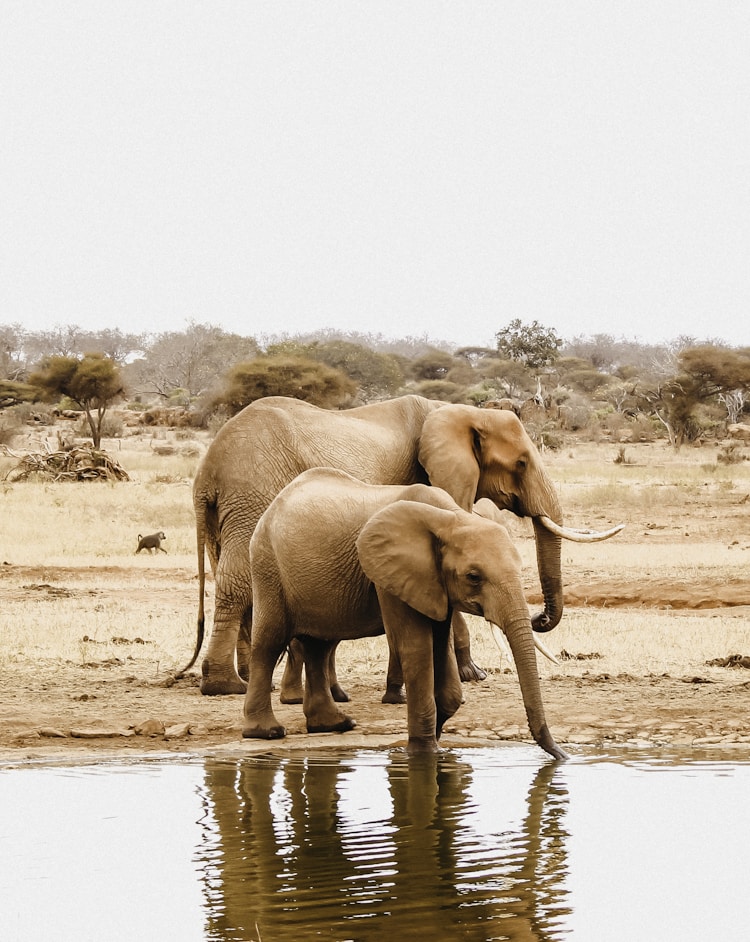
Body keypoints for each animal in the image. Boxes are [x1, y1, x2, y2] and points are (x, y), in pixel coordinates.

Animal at [185, 394, 620, 696]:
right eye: (522, 463)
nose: (538, 618)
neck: (457, 411)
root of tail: (207, 471)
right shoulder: (430, 483)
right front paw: (472, 674)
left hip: (231, 508)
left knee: (235, 575)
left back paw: (253, 679)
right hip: (252, 492)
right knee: (237, 581)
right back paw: (227, 686)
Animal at [244, 468, 568, 764]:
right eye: (474, 577)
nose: (562, 756)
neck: (451, 518)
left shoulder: (434, 583)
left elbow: (441, 648)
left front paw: (436, 743)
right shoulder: (389, 574)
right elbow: (416, 647)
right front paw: (423, 754)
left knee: (318, 646)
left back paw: (334, 725)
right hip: (268, 565)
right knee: (269, 643)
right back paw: (266, 732)